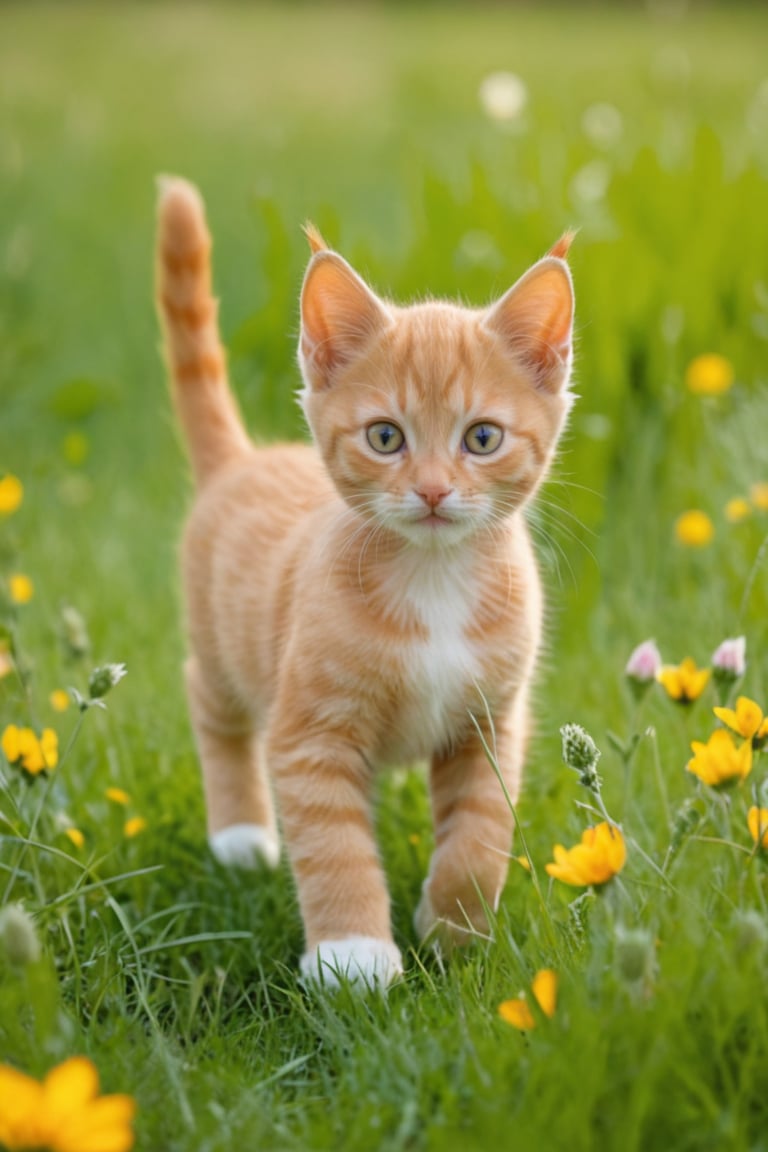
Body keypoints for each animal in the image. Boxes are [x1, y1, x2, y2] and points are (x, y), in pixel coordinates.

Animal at [156, 179, 573, 990]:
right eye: (386, 437)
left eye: (482, 438)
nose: (435, 491)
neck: (434, 579)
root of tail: (242, 460)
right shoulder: (310, 731)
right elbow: (334, 846)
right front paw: (353, 959)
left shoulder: (491, 720)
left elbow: (482, 829)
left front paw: (454, 929)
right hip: (224, 648)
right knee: (207, 700)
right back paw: (241, 835)